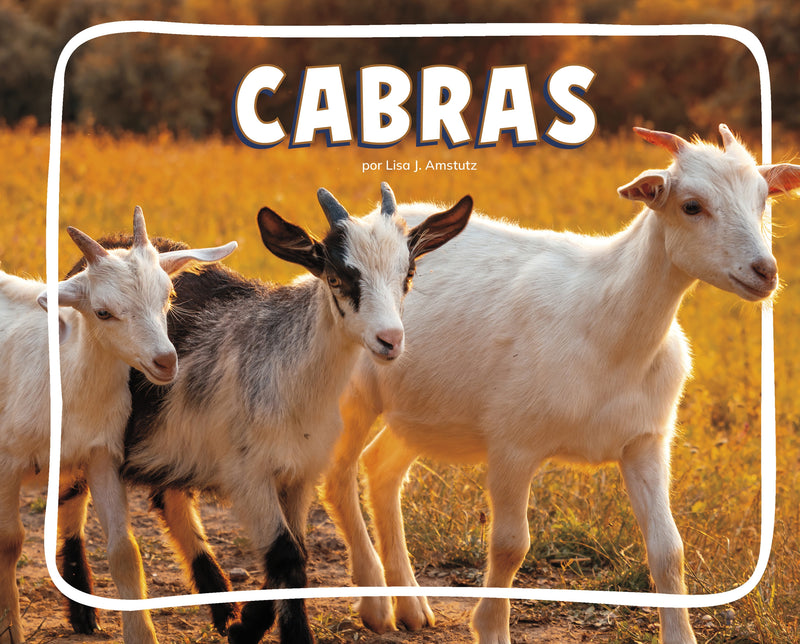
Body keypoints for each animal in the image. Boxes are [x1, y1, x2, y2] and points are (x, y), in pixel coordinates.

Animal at [0, 207, 236, 644]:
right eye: (103, 312)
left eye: (168, 296)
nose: (165, 361)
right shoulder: (7, 461)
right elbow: (9, 543)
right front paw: (9, 630)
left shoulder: (102, 456)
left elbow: (125, 550)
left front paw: (142, 633)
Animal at [58, 183, 472, 644]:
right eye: (336, 277)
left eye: (408, 276)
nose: (390, 340)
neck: (289, 372)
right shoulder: (248, 474)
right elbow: (286, 557)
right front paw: (286, 634)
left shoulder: (297, 473)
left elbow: (296, 553)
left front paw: (245, 627)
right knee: (72, 493)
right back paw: (83, 609)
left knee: (170, 496)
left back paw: (221, 604)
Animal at [319, 125, 800, 644]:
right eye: (691, 205)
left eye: (763, 199)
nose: (765, 272)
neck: (607, 329)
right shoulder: (513, 444)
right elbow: (510, 545)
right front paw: (490, 628)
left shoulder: (645, 441)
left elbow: (668, 550)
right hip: (351, 396)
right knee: (338, 476)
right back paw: (376, 604)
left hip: (423, 412)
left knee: (381, 468)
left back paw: (410, 605)